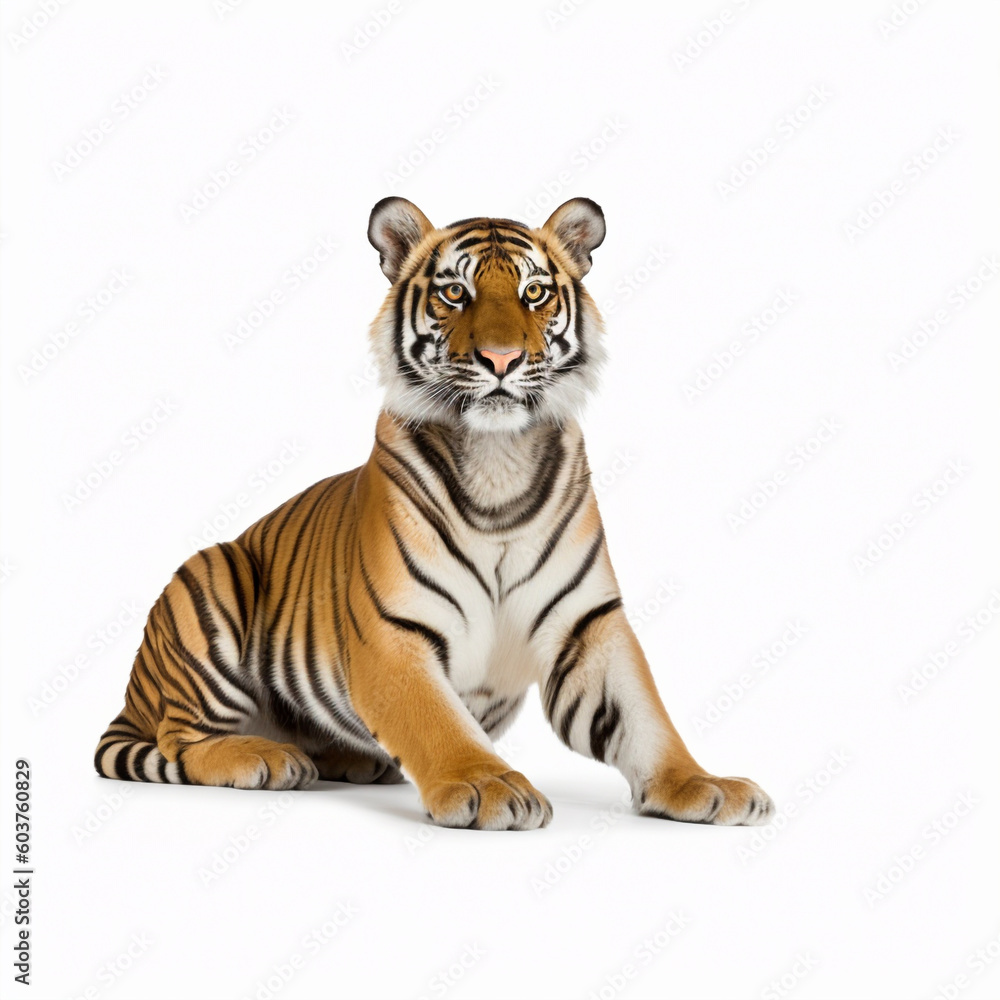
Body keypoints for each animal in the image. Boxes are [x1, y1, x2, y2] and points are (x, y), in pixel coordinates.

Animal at [94, 196, 774, 830]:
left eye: (534, 293)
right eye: (454, 292)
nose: (501, 359)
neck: (499, 461)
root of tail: (133, 698)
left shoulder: (588, 625)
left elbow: (647, 717)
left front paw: (705, 785)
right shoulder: (394, 632)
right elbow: (435, 722)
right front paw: (487, 786)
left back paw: (347, 759)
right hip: (209, 574)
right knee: (180, 739)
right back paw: (265, 758)